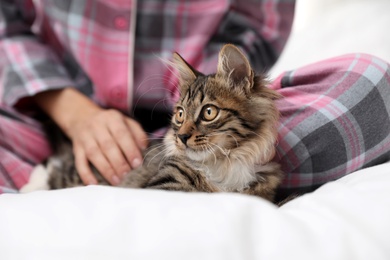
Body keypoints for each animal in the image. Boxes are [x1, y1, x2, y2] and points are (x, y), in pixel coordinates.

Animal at [20, 44, 284, 202]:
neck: (223, 165)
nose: (181, 137)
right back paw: (28, 188)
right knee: (53, 169)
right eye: (180, 115)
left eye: (209, 112)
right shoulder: (164, 186)